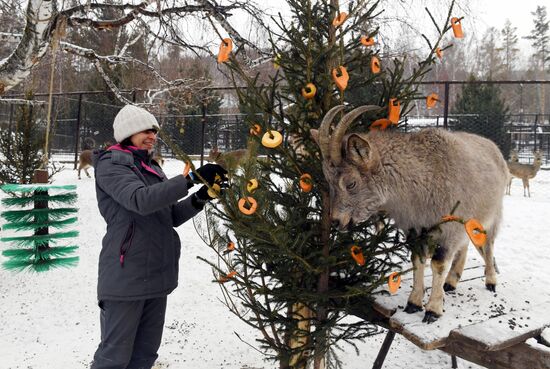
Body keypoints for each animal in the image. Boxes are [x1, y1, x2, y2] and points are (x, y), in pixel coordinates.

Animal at [312, 104, 512, 322]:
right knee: (465, 245)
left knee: (487, 244)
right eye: (329, 181)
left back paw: (490, 281)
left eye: (351, 183)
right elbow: (417, 259)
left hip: (493, 214)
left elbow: (438, 264)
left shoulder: (448, 228)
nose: (336, 221)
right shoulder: (415, 228)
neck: (422, 178)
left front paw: (433, 309)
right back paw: (451, 282)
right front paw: (414, 303)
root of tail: (495, 150)